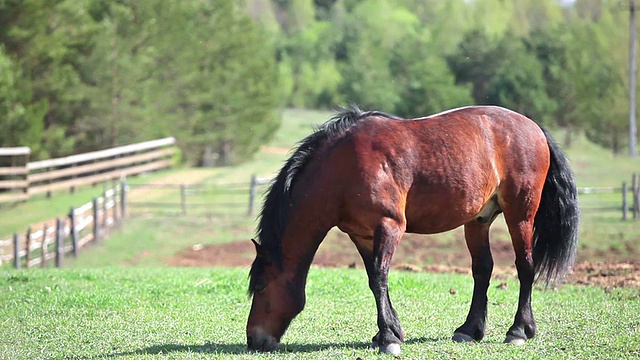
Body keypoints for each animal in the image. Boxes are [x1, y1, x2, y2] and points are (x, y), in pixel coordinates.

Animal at [246, 105, 580, 356]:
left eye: (260, 287)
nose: (254, 340)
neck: (344, 167)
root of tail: (534, 127)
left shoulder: (389, 226)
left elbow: (380, 277)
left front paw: (389, 338)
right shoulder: (361, 234)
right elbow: (373, 279)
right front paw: (390, 331)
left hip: (520, 214)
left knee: (525, 266)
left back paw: (519, 330)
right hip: (478, 220)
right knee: (483, 269)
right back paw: (469, 330)